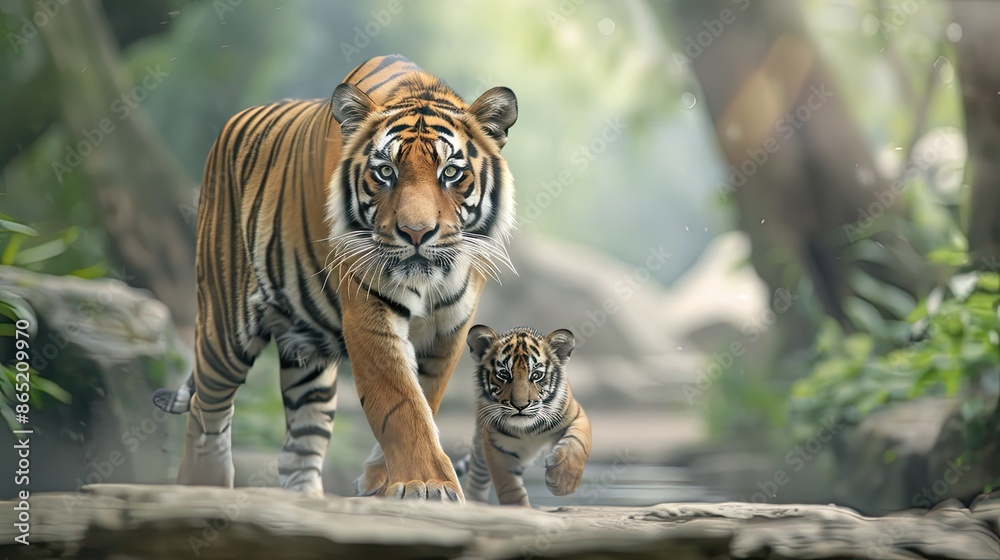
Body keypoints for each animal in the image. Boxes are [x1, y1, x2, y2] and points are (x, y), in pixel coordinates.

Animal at [151, 54, 519, 503]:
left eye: (450, 172)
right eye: (385, 171)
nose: (416, 233)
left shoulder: (450, 328)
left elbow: (426, 398)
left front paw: (382, 479)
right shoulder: (368, 313)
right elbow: (401, 403)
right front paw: (429, 485)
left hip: (308, 358)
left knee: (298, 448)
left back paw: (305, 499)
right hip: (225, 328)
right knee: (208, 412)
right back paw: (205, 487)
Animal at [463, 325, 592, 506]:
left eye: (536, 375)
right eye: (504, 375)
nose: (520, 406)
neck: (528, 429)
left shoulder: (576, 415)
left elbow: (578, 443)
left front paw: (562, 483)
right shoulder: (495, 445)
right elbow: (509, 487)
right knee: (476, 480)